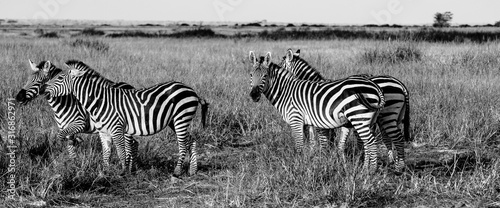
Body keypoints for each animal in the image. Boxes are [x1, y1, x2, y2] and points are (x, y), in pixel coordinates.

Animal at [42, 59, 208, 176]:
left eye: (60, 78)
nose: (45, 91)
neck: (99, 101)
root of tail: (191, 90)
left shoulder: (116, 128)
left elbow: (121, 150)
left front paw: (123, 172)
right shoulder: (104, 132)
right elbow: (106, 153)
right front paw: (105, 172)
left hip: (181, 117)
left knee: (182, 144)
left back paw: (177, 172)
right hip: (175, 121)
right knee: (191, 140)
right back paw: (192, 170)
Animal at [248, 51, 384, 170]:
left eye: (265, 76)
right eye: (250, 75)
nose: (253, 95)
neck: (286, 91)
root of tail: (373, 85)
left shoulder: (296, 119)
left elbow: (300, 146)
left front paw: (300, 167)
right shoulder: (309, 122)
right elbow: (312, 142)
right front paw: (314, 161)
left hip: (359, 118)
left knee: (370, 143)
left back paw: (370, 171)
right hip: (368, 121)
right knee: (367, 143)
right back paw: (365, 168)